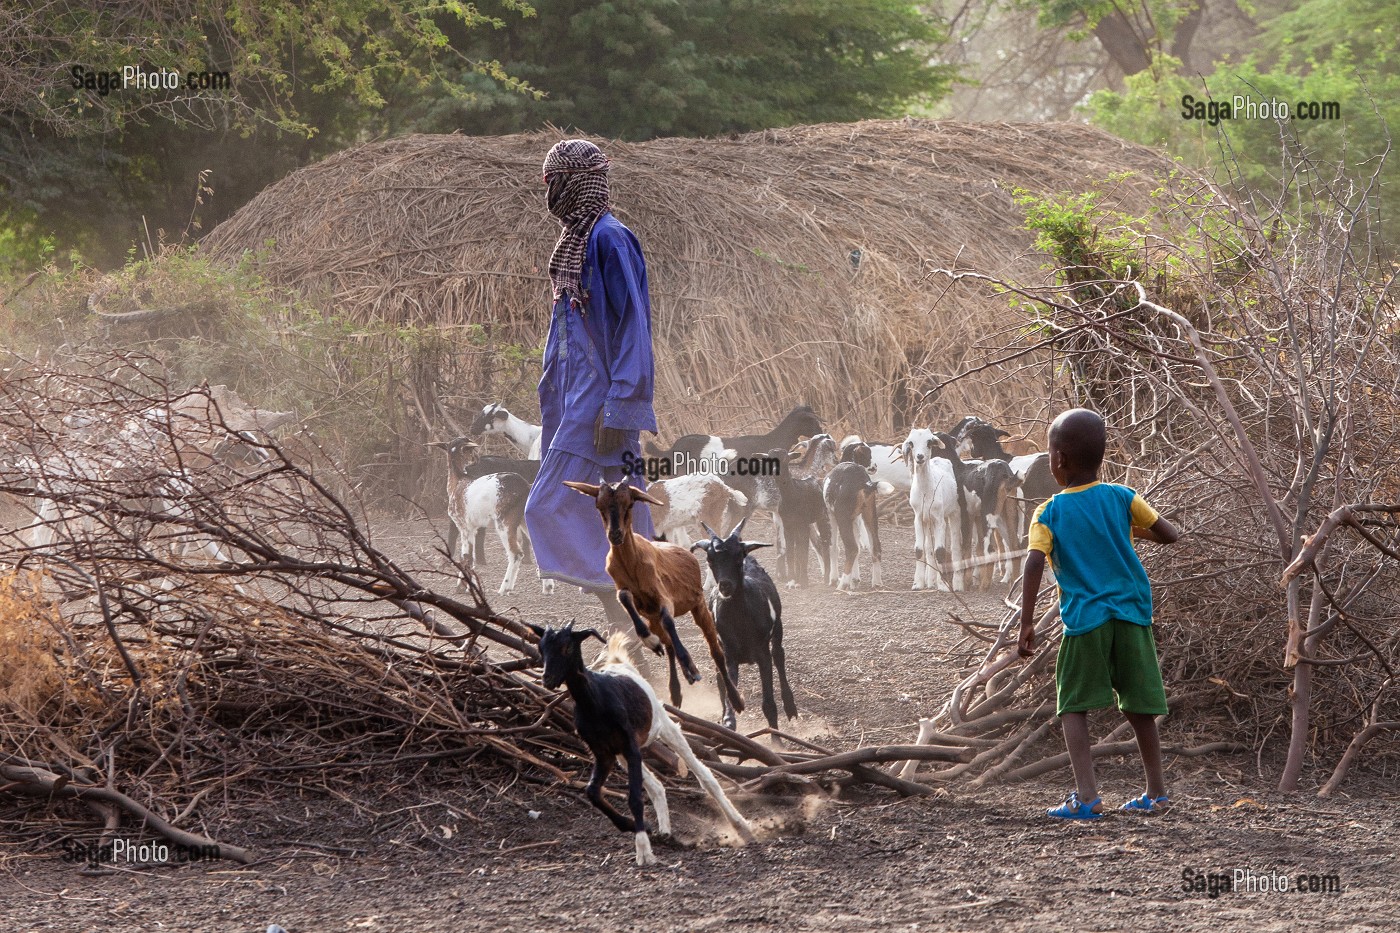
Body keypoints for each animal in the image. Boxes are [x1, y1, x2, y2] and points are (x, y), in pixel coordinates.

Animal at [529, 622, 761, 862]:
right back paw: (665, 833)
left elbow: (634, 798)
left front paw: (643, 849)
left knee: (705, 776)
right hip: (623, 755)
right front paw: (639, 828)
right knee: (657, 786)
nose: (547, 679)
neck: (595, 699)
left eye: (567, 646)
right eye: (541, 648)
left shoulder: (630, 746)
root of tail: (620, 664)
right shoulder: (604, 752)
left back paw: (740, 824)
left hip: (664, 726)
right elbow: (592, 792)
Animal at [562, 479, 750, 711]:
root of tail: (725, 488)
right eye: (599, 506)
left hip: (709, 522)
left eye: (628, 505)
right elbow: (627, 601)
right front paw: (652, 644)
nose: (615, 534)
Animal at [691, 518, 800, 728]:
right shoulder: (729, 655)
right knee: (718, 676)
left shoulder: (762, 654)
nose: (725, 585)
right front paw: (728, 720)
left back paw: (790, 706)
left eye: (737, 557)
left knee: (779, 655)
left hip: (778, 628)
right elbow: (729, 706)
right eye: (710, 559)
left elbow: (769, 705)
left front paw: (775, 735)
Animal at [817, 459, 896, 588]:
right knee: (875, 547)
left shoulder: (831, 516)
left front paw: (834, 579)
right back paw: (877, 583)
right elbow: (859, 549)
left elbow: (834, 548)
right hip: (870, 515)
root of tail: (864, 483)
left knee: (851, 548)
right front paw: (854, 580)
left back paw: (842, 585)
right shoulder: (853, 519)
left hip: (842, 517)